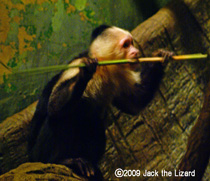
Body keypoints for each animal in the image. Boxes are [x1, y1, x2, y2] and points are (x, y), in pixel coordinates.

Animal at [27, 25, 173, 180]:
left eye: (132, 43)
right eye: (126, 45)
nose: (136, 52)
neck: (106, 68)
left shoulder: (120, 73)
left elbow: (134, 103)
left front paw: (160, 58)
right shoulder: (77, 65)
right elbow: (54, 107)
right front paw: (85, 72)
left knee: (94, 123)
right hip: (39, 155)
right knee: (62, 118)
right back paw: (63, 161)